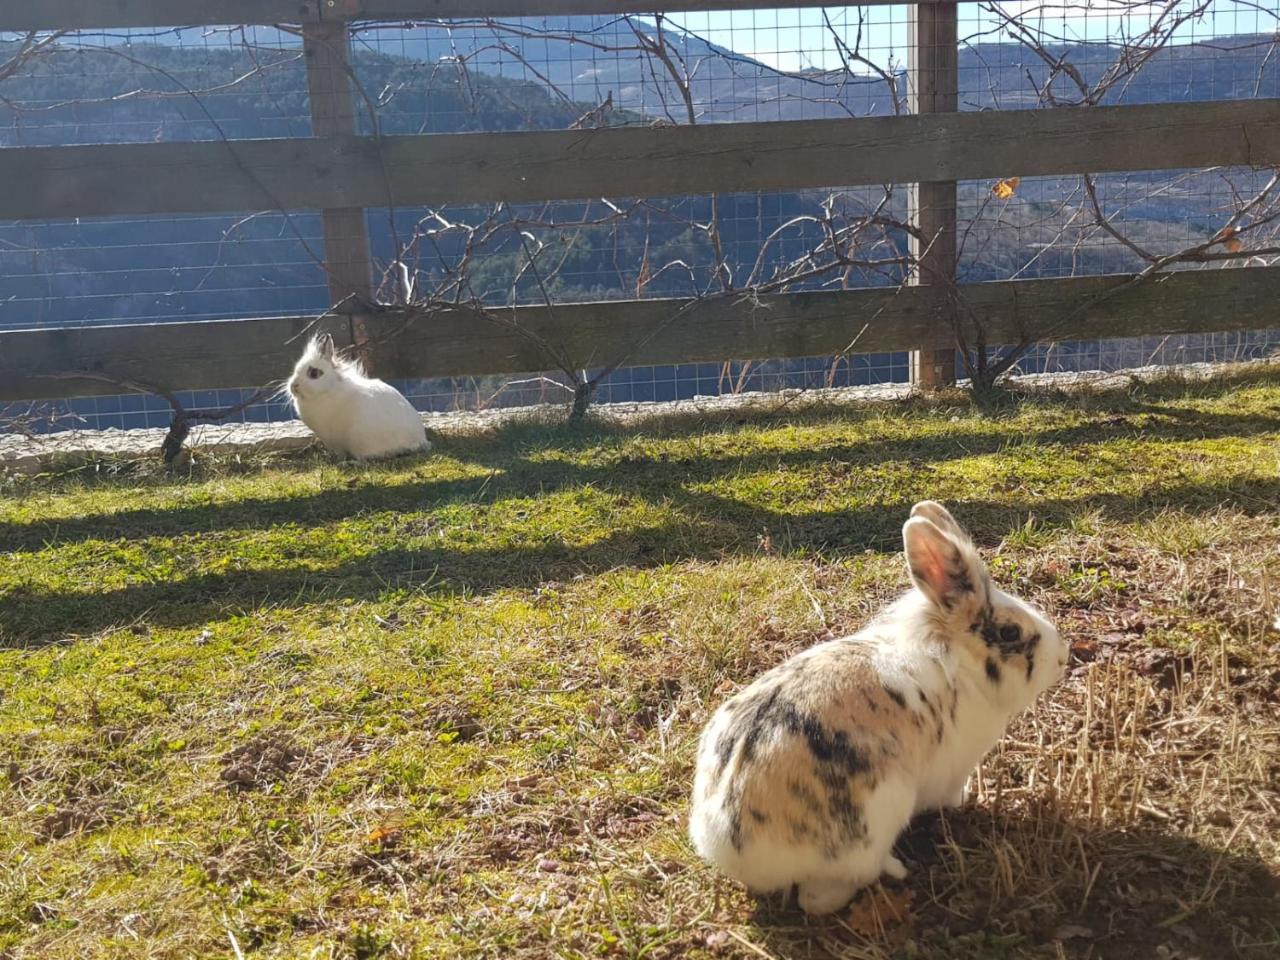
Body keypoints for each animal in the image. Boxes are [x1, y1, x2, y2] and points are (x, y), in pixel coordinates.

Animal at [288, 335, 432, 463]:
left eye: (314, 373)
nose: (293, 386)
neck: (327, 389)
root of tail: (418, 440)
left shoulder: (333, 440)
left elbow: (340, 453)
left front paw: (337, 460)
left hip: (359, 439)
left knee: (367, 459)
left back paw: (350, 463)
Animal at [691, 504, 1070, 916]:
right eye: (1009, 633)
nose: (1063, 656)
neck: (958, 659)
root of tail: (732, 847)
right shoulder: (954, 768)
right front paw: (967, 799)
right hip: (880, 813)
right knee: (821, 897)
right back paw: (896, 869)